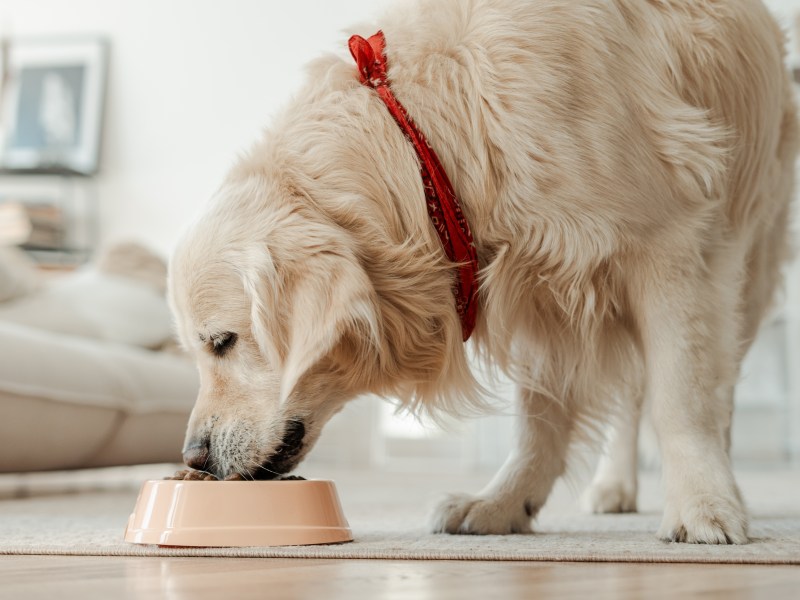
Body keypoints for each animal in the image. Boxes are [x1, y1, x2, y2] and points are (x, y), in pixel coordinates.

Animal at [167, 0, 792, 544]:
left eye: (223, 341)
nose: (193, 456)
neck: (430, 144)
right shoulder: (545, 285)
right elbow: (538, 419)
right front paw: (504, 503)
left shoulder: (670, 246)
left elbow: (681, 397)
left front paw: (703, 506)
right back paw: (613, 486)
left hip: (748, 263)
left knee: (712, 386)